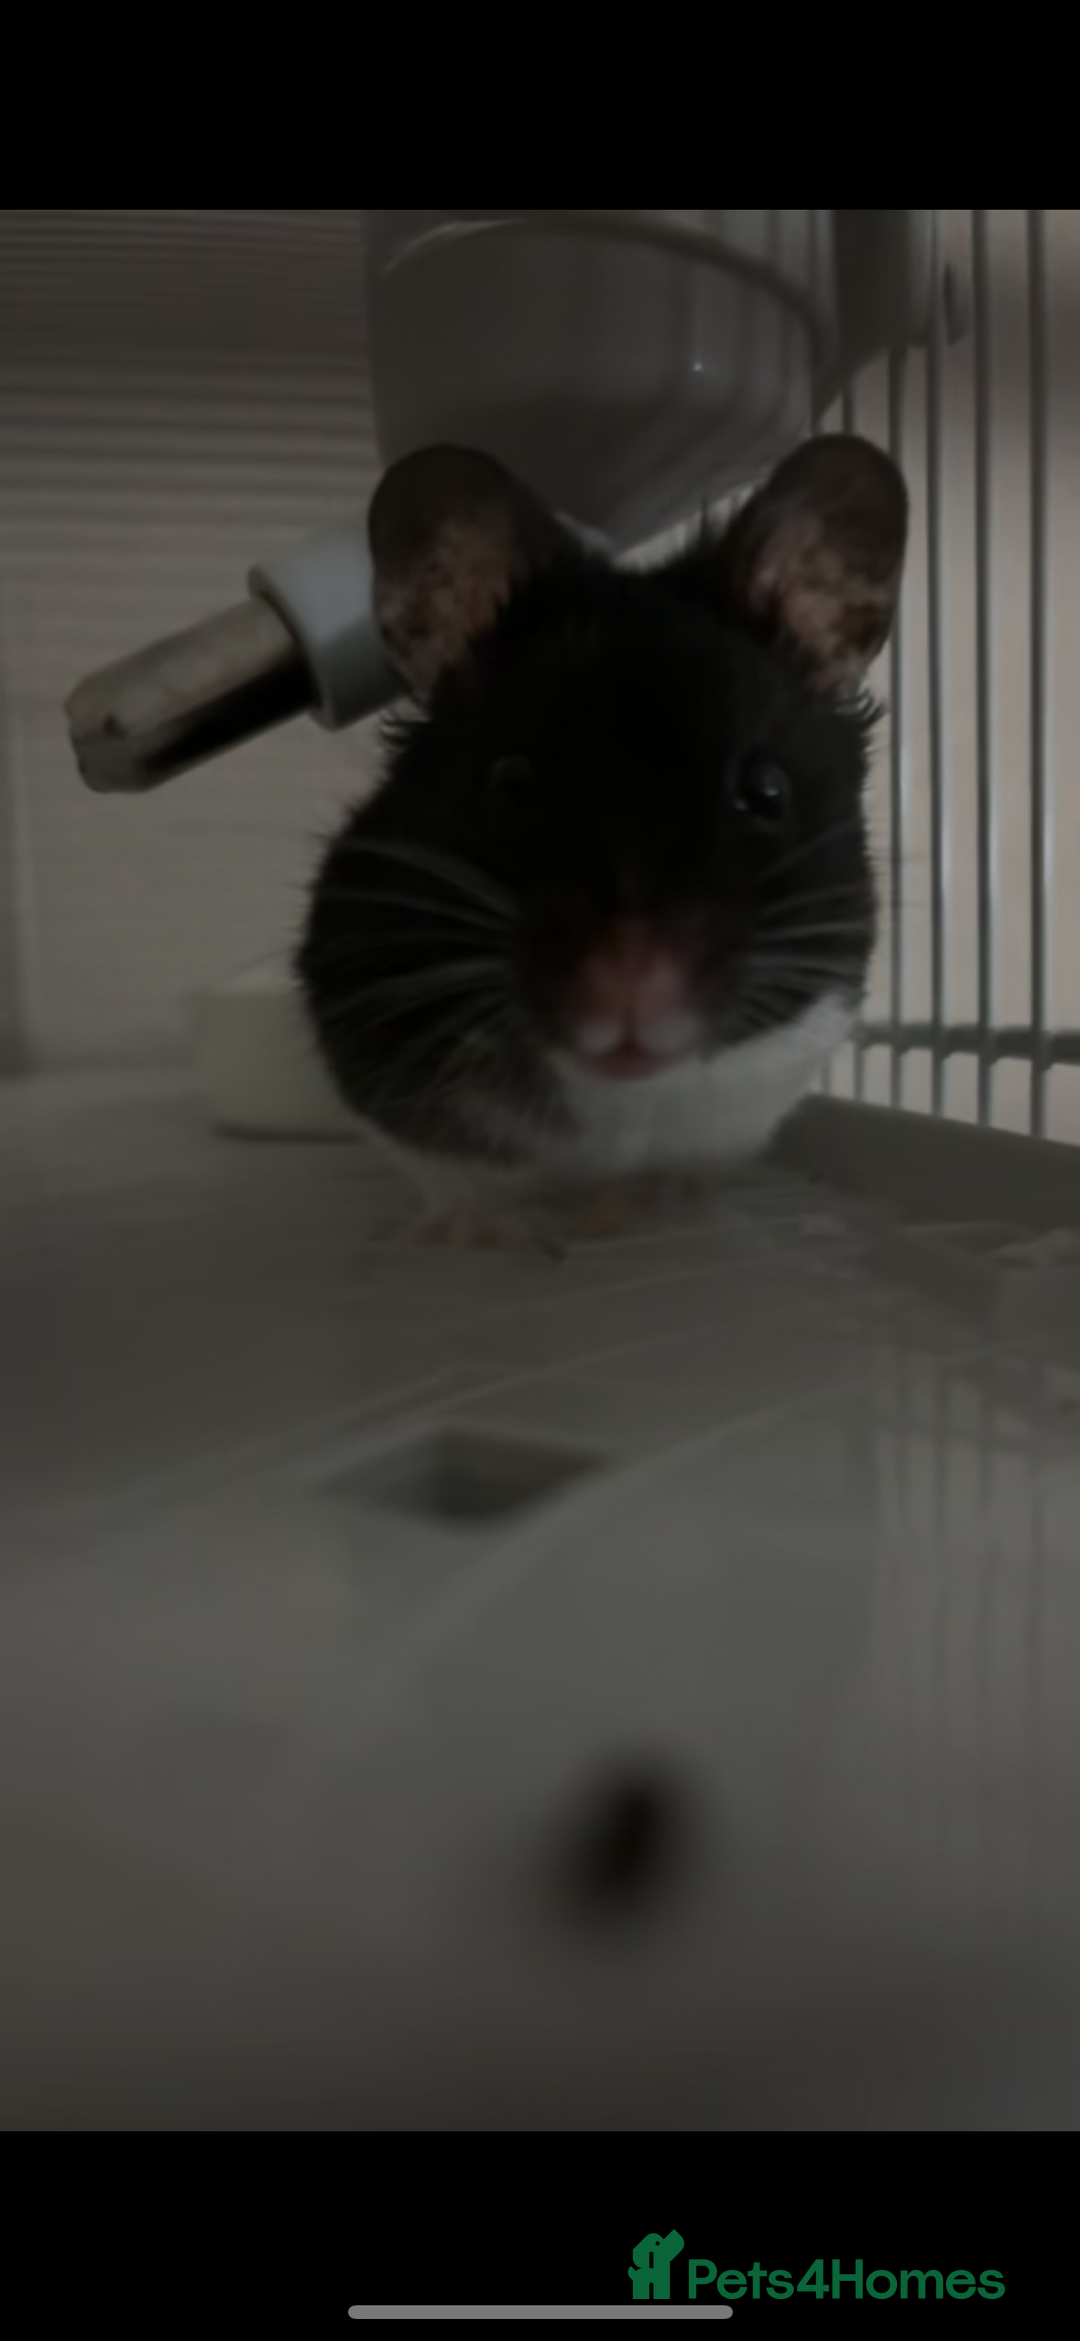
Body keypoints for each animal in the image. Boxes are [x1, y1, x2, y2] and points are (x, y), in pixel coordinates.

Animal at [297, 435, 907, 1245]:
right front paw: (488, 1236)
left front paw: (659, 1210)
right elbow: (453, 1169)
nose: (630, 987)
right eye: (511, 780)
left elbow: (678, 1168)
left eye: (766, 790)